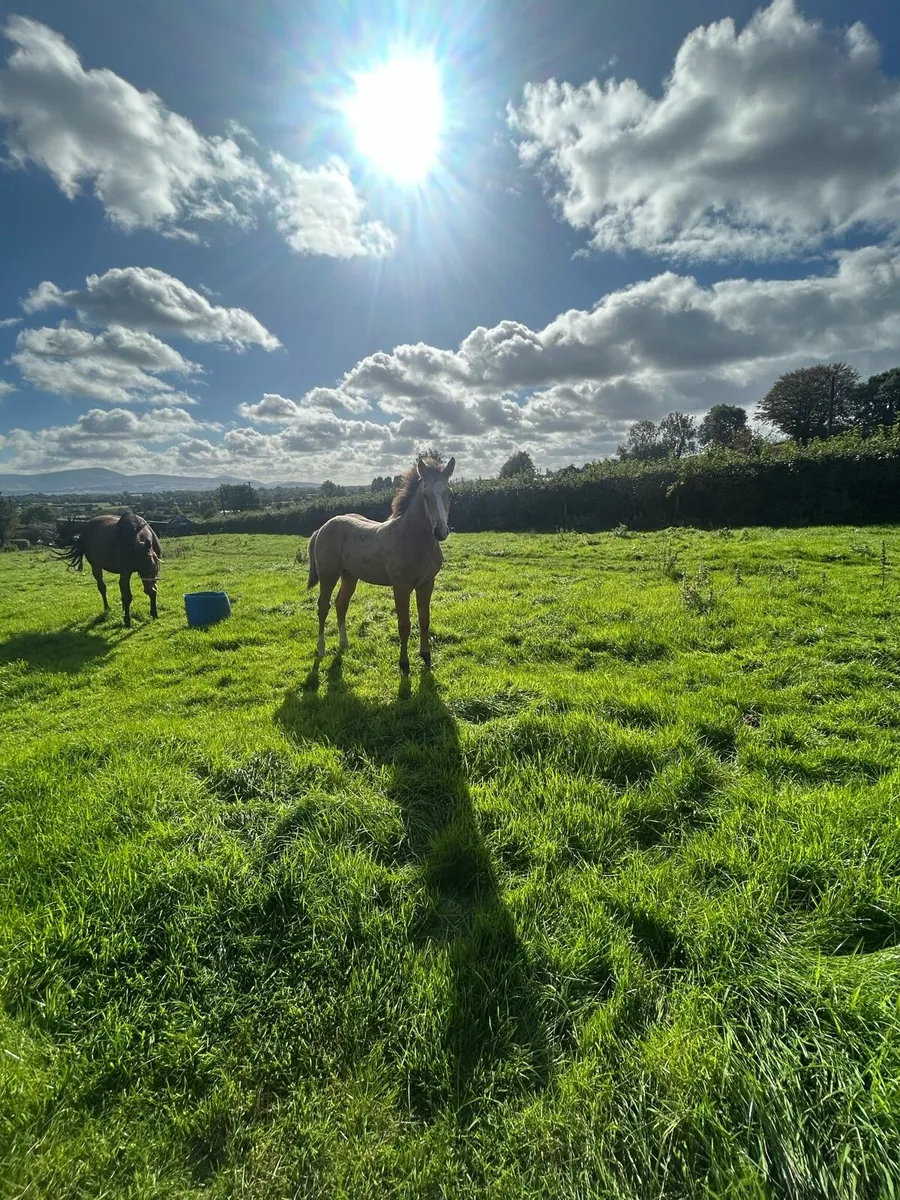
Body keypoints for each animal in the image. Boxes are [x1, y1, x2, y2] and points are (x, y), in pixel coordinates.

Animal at [307, 456, 455, 674]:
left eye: (449, 493)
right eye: (426, 494)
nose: (440, 531)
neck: (412, 538)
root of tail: (321, 528)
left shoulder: (427, 584)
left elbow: (424, 620)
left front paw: (426, 657)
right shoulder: (401, 587)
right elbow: (404, 624)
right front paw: (404, 664)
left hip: (349, 575)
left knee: (341, 604)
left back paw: (344, 644)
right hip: (328, 575)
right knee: (323, 606)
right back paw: (321, 648)